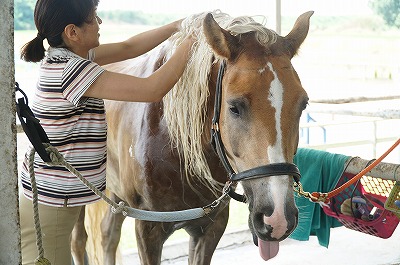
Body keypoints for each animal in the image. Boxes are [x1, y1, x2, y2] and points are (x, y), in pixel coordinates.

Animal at [72, 10, 314, 264]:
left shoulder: (211, 226)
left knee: (108, 235)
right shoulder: (148, 229)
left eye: (303, 105)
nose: (277, 218)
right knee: (80, 240)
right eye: (234, 107)